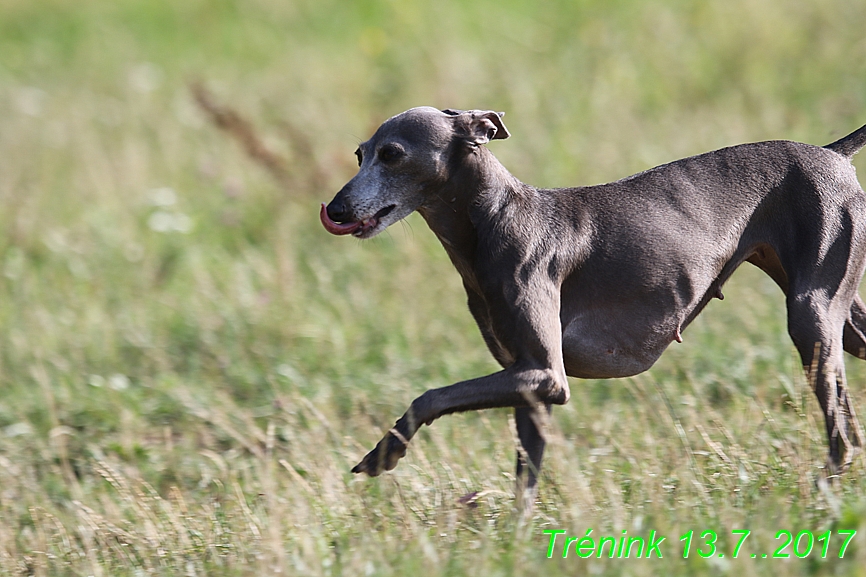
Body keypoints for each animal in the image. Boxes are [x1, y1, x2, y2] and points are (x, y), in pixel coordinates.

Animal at [318, 107, 864, 504]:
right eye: (360, 153)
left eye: (392, 154)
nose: (336, 209)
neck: (495, 218)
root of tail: (831, 153)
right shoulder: (529, 386)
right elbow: (525, 483)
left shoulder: (545, 375)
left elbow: (427, 397)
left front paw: (383, 454)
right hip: (843, 320)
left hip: (811, 315)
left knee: (843, 435)